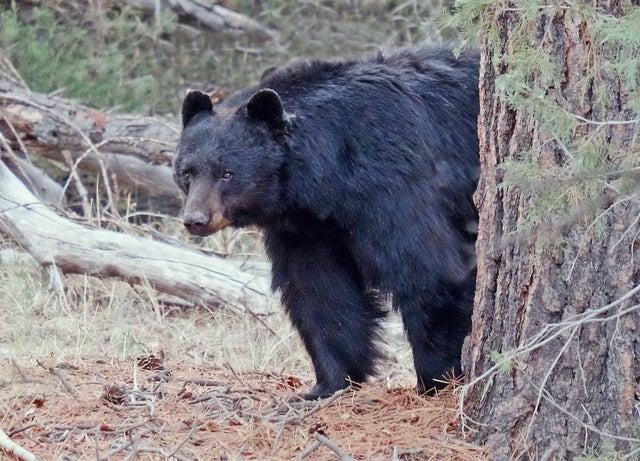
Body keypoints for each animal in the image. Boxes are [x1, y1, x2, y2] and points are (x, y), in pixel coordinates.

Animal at [173, 46, 480, 400]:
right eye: (187, 172)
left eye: (227, 173)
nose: (196, 220)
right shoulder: (307, 228)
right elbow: (322, 292)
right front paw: (327, 384)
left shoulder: (394, 180)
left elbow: (430, 269)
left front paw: (438, 379)